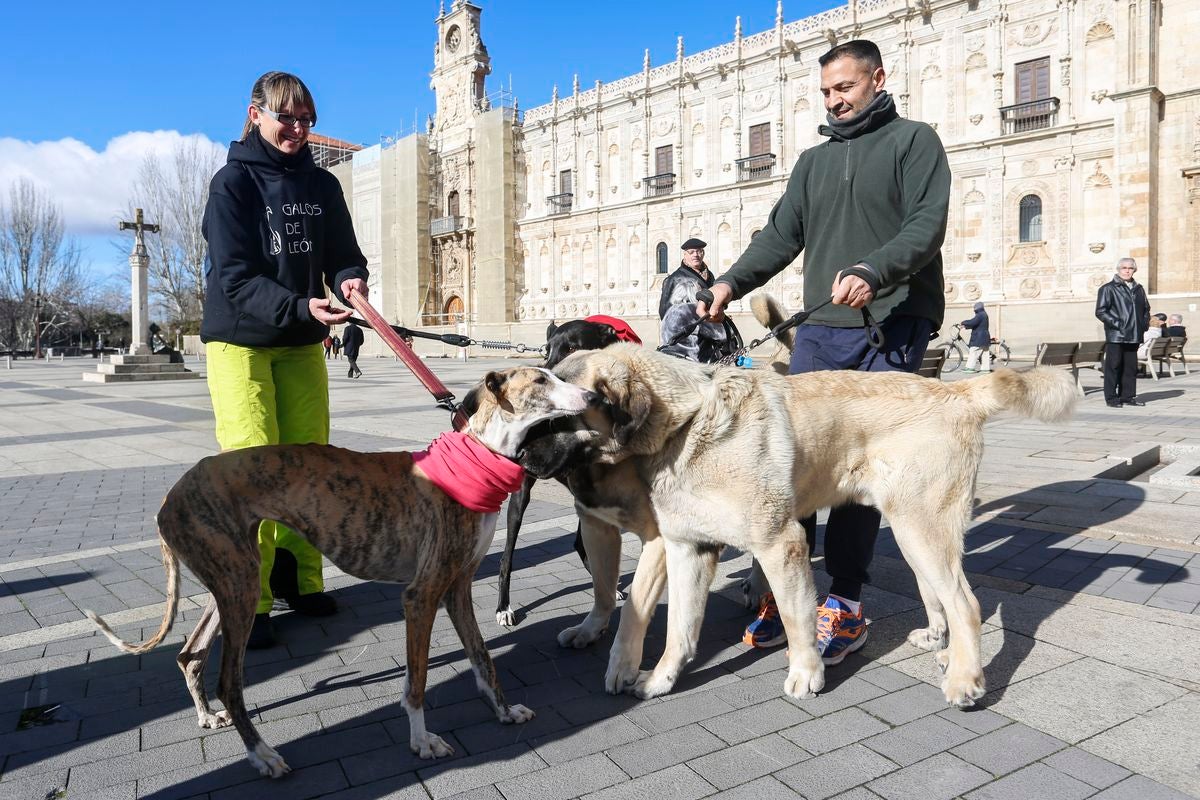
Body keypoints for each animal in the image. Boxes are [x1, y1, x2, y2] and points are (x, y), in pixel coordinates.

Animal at [82, 371, 597, 782]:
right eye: (541, 379)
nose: (593, 395)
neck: (478, 458)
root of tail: (169, 496)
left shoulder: (458, 587)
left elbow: (482, 659)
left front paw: (504, 712)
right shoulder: (421, 595)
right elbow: (416, 681)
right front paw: (422, 742)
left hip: (234, 577)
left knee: (189, 654)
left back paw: (208, 717)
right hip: (240, 586)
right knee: (229, 682)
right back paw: (263, 756)